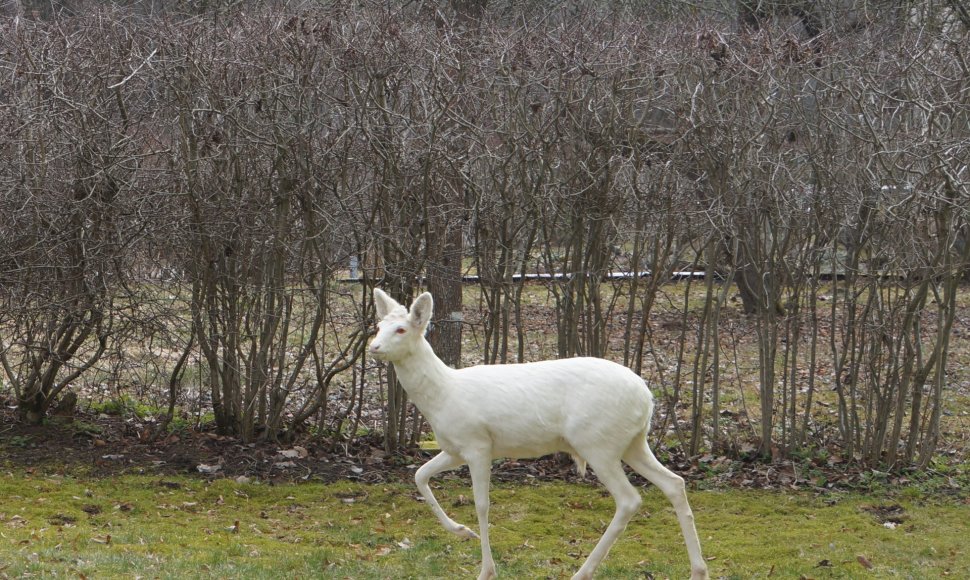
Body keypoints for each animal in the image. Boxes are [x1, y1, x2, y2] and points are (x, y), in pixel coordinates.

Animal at [366, 290, 708, 580]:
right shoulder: (454, 448)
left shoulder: (478, 444)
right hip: (633, 442)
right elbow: (420, 475)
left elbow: (481, 503)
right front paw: (463, 531)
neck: (443, 395)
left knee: (629, 499)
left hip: (598, 442)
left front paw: (486, 570)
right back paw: (698, 570)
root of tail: (647, 398)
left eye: (401, 329)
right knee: (674, 483)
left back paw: (582, 572)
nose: (374, 347)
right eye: (379, 325)